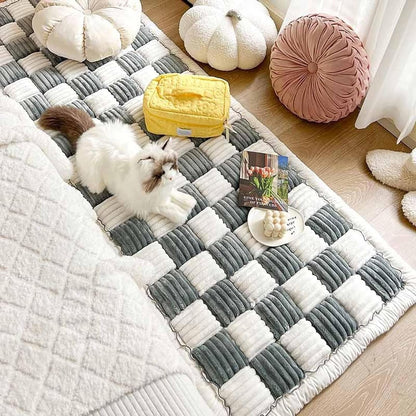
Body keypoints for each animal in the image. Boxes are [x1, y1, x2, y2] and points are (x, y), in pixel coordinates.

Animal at [39, 105, 196, 226]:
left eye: (171, 166)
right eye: (160, 174)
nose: (170, 178)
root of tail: (86, 133)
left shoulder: (164, 191)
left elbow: (175, 194)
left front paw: (189, 202)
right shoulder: (145, 203)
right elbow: (167, 208)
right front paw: (181, 216)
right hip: (96, 181)